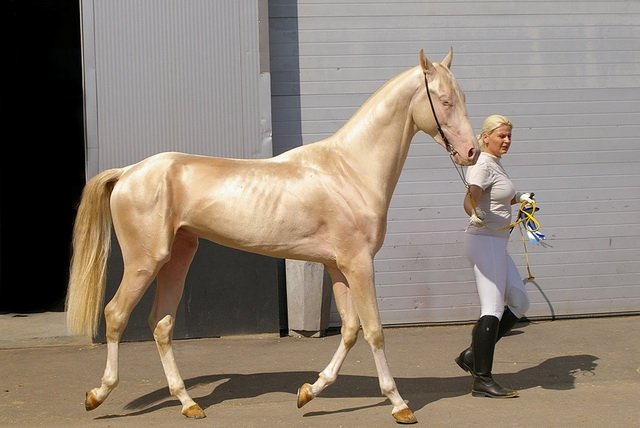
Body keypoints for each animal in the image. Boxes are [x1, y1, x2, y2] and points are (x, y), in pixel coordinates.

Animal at [66, 48, 476, 422]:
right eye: (444, 100)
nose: (471, 152)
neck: (351, 170)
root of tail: (128, 172)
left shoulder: (338, 267)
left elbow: (349, 330)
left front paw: (309, 392)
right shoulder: (359, 264)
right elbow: (374, 330)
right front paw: (399, 404)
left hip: (178, 257)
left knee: (161, 324)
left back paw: (188, 403)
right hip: (144, 261)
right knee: (116, 314)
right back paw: (97, 395)